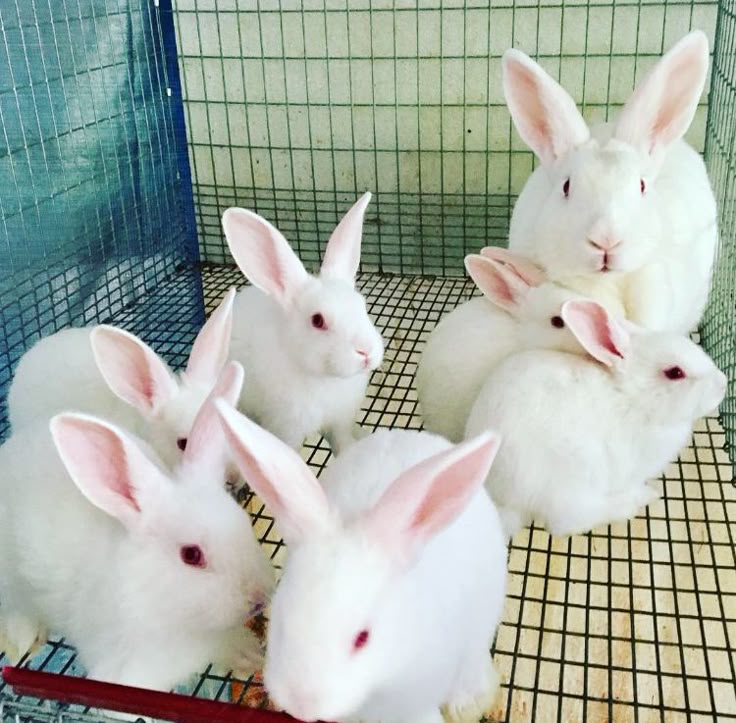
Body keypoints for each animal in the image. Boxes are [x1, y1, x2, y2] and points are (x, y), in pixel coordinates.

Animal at [222, 192, 384, 454]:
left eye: (362, 305)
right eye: (318, 320)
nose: (366, 351)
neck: (326, 379)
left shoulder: (340, 420)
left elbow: (343, 442)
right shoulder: (287, 427)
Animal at [465, 299, 728, 538]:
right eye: (675, 372)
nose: (723, 383)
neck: (631, 398)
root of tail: (502, 500)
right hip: (576, 476)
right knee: (568, 521)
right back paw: (638, 500)